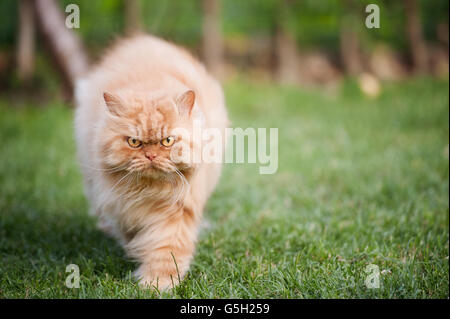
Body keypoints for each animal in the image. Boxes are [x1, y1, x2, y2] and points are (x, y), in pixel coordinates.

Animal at [75, 35, 229, 290]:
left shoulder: (177, 214)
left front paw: (157, 284)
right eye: (134, 142)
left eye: (167, 141)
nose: (151, 156)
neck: (148, 192)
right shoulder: (122, 208)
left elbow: (165, 253)